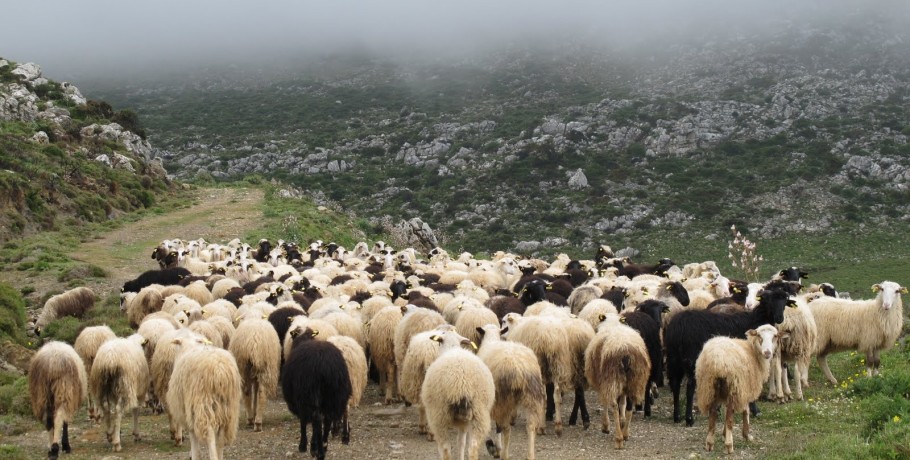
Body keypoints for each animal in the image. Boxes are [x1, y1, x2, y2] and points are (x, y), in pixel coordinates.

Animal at [284, 328, 354, 458]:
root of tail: (325, 362)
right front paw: (313, 443)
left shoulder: (300, 400)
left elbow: (303, 422)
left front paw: (304, 445)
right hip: (334, 394)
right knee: (327, 419)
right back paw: (324, 445)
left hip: (310, 392)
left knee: (317, 419)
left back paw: (319, 451)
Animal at [664, 288, 792, 428]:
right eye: (768, 300)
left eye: (784, 301)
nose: (779, 318)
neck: (754, 321)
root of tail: (678, 325)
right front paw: (754, 410)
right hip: (691, 358)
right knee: (690, 386)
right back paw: (689, 419)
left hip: (673, 357)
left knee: (675, 384)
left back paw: (677, 416)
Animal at [700, 324, 784, 452]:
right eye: (759, 336)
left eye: (775, 336)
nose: (767, 353)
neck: (753, 352)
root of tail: (717, 361)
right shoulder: (744, 388)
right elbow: (746, 410)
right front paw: (746, 435)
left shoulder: (739, 389)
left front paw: (724, 434)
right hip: (732, 386)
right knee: (729, 416)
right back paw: (729, 445)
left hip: (709, 387)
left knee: (713, 414)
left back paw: (709, 443)